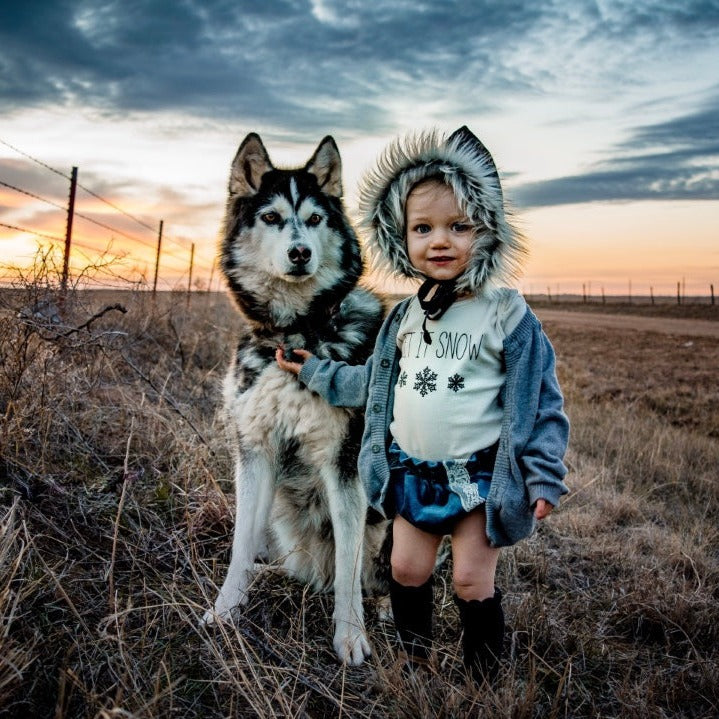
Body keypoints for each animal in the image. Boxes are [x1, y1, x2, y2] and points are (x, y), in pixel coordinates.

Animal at [204, 134, 388, 664]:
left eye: (315, 218)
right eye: (270, 217)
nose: (301, 252)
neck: (293, 337)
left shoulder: (345, 466)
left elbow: (349, 562)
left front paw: (350, 637)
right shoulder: (254, 453)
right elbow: (239, 546)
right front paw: (225, 610)